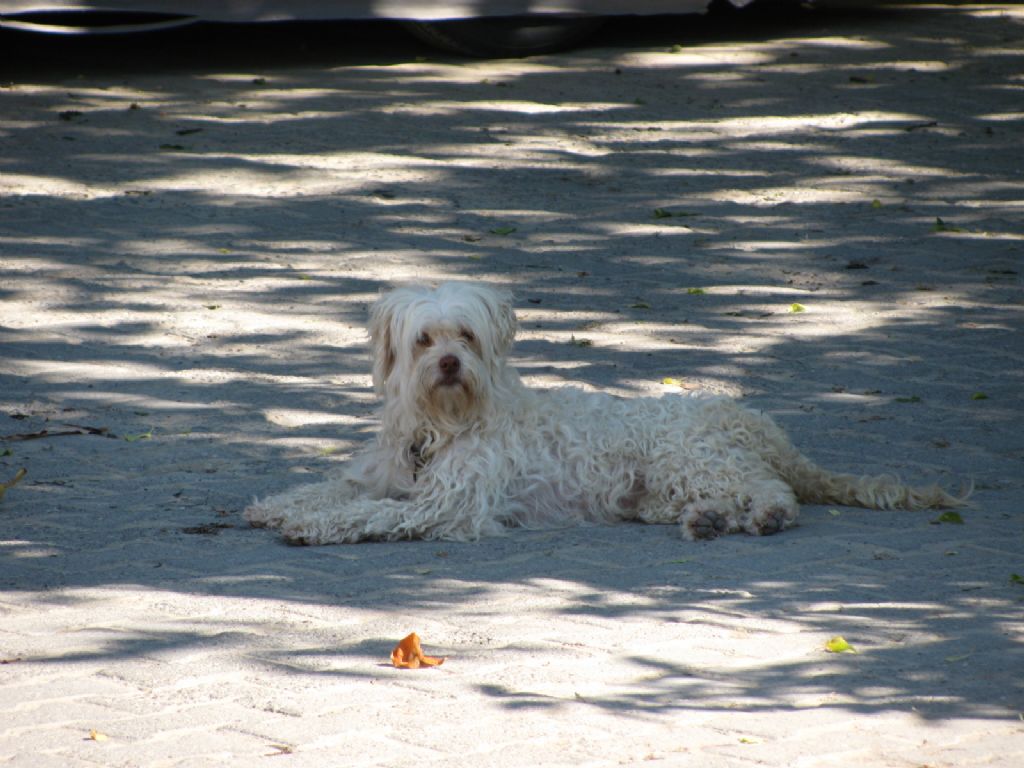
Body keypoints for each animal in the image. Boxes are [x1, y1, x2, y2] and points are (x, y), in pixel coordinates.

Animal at [243, 284, 962, 548]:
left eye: (466, 336)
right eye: (424, 340)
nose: (449, 364)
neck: (438, 425)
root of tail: (760, 424)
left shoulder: (447, 505)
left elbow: (368, 514)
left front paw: (311, 525)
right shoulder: (386, 475)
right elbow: (332, 489)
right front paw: (278, 505)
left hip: (692, 458)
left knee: (774, 493)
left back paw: (760, 516)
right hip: (665, 485)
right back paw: (708, 521)